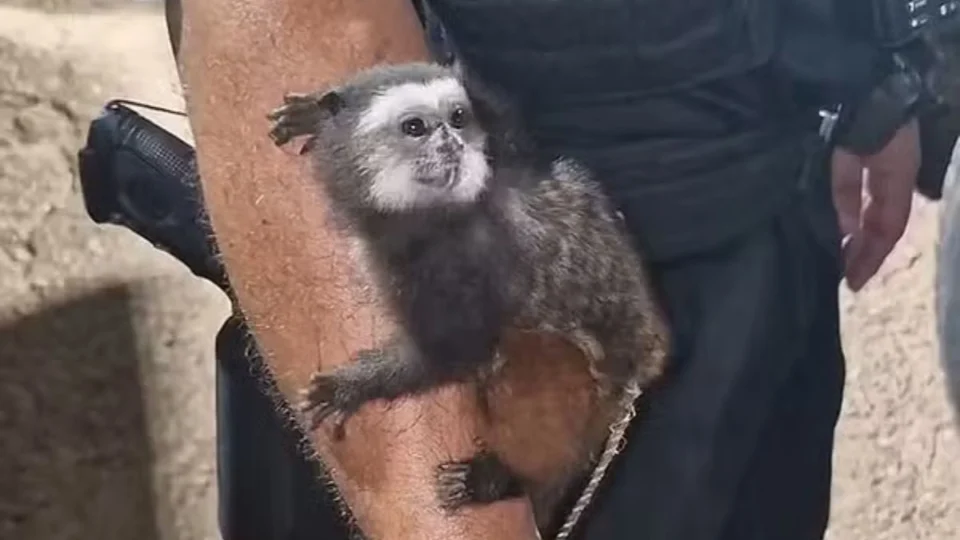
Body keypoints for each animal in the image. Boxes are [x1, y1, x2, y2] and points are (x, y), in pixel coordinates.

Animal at [267, 62, 669, 529]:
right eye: (416, 127)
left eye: (457, 118)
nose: (452, 143)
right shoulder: (505, 159)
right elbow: (513, 132)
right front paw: (315, 112)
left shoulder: (452, 266)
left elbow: (455, 352)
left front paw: (353, 386)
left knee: (538, 355)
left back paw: (503, 479)